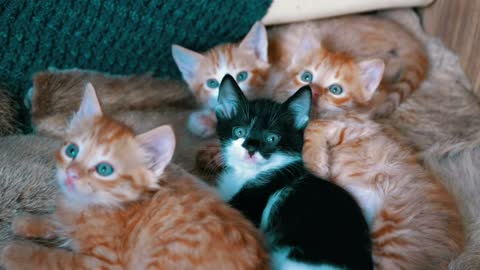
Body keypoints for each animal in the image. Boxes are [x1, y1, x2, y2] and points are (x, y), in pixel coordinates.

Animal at [0, 83, 268, 268]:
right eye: (72, 151)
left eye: (104, 169)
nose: (72, 173)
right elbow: (59, 221)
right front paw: (29, 221)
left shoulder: (104, 263)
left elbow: (53, 258)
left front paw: (14, 251)